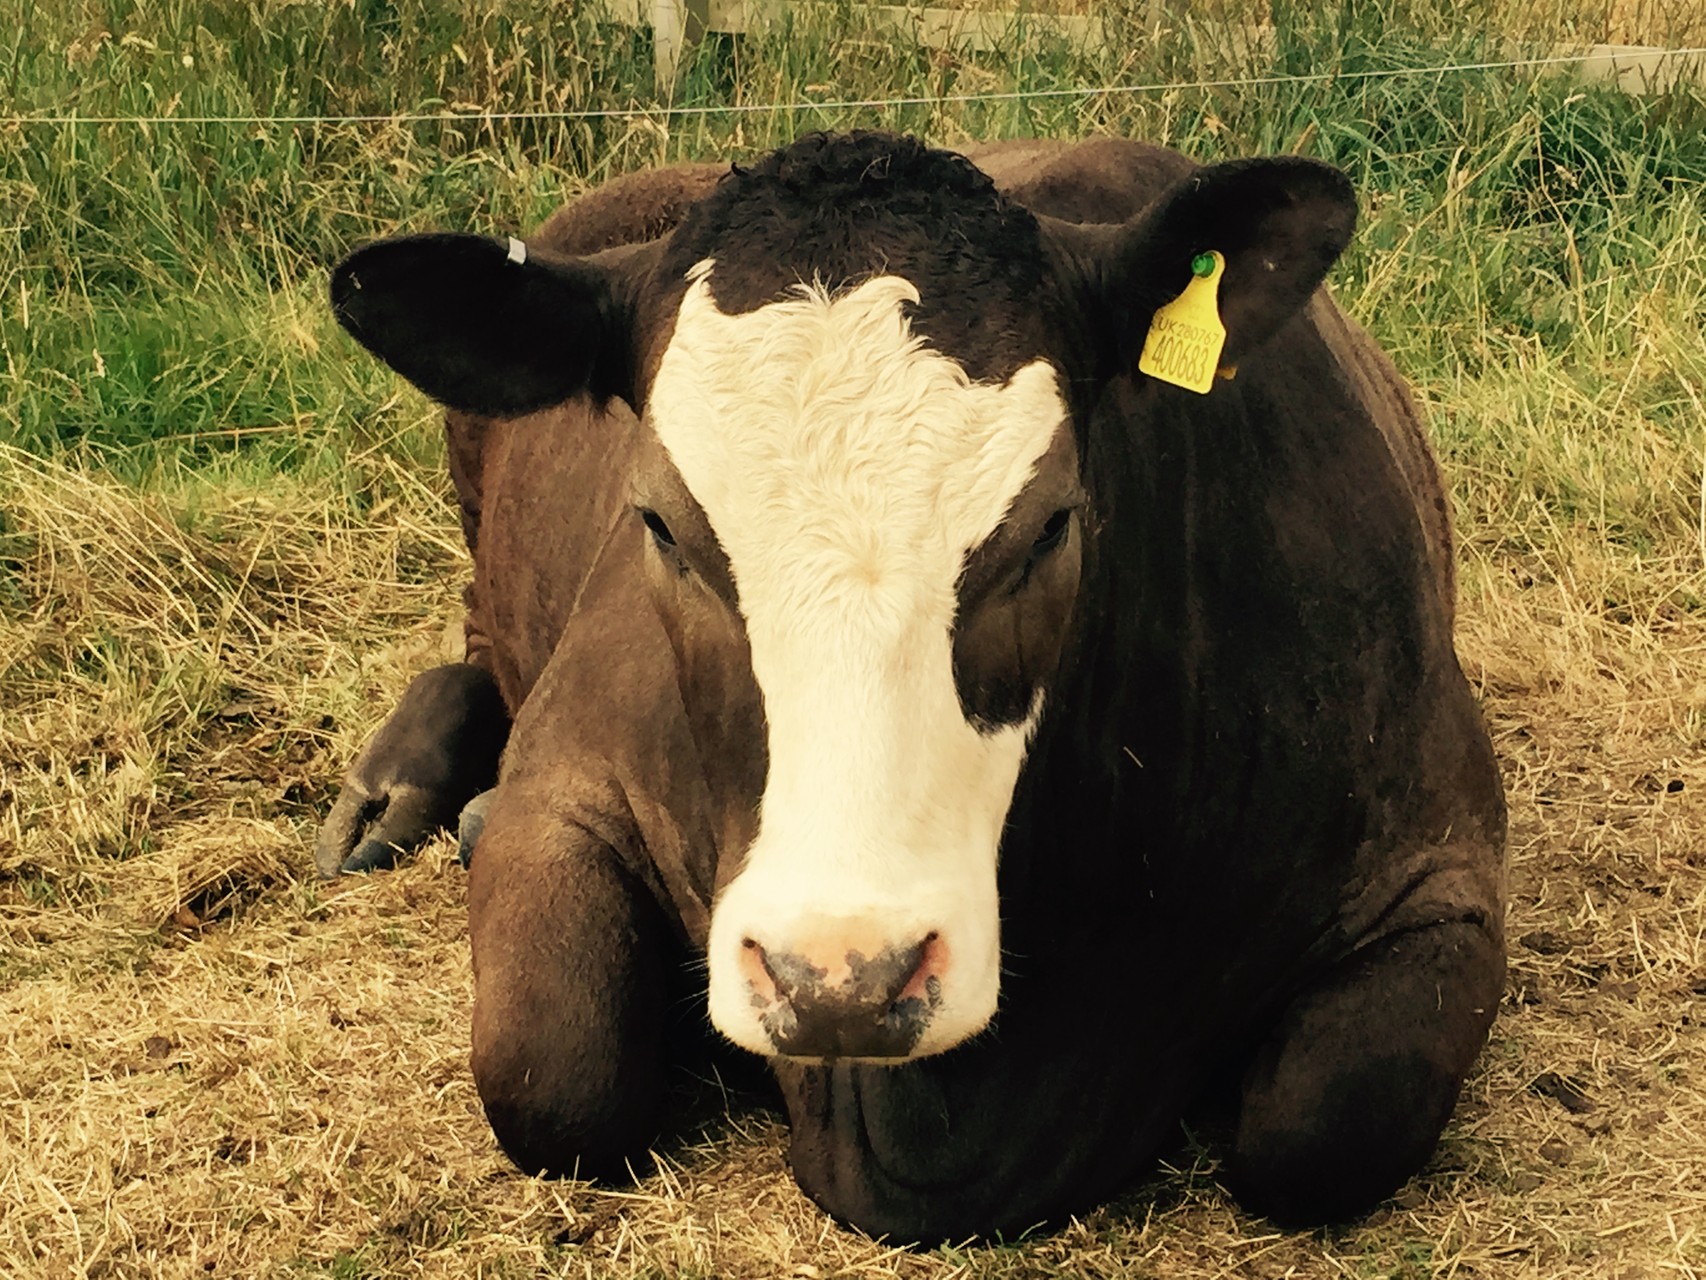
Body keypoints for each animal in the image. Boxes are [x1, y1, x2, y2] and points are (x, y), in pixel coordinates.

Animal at [317, 130, 1508, 1242]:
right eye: (657, 522)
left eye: (1052, 523)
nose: (839, 977)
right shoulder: (569, 767)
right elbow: (552, 1075)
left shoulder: (1441, 865)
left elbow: (1324, 1127)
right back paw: (397, 792)